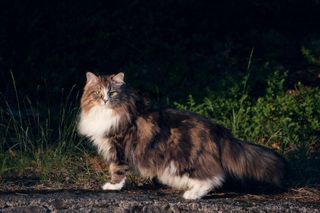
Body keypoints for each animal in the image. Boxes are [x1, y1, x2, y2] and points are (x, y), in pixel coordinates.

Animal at [77, 71, 284, 200]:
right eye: (97, 93)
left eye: (112, 92)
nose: (105, 100)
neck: (108, 113)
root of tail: (217, 129)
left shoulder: (117, 148)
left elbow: (117, 171)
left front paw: (112, 187)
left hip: (184, 160)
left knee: (213, 177)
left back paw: (192, 195)